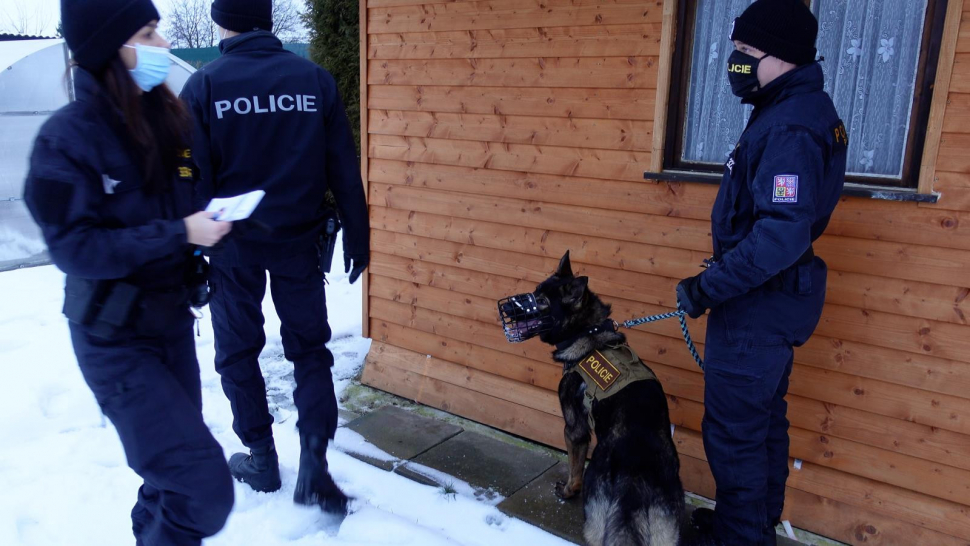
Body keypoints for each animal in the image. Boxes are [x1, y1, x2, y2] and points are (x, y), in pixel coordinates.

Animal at [500, 252, 680, 544]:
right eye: (535, 291)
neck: (587, 331)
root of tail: (636, 476)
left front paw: (567, 492)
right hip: (666, 530)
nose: (506, 307)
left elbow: (575, 469)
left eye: (542, 301)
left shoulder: (574, 430)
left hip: (598, 524)